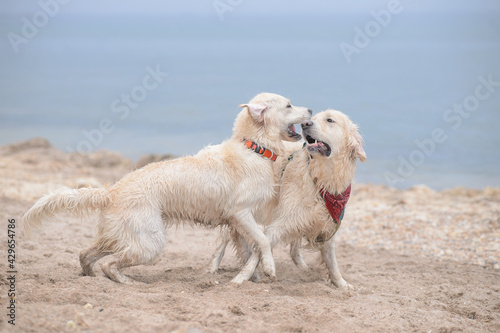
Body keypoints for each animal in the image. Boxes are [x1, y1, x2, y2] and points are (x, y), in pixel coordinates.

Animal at [24, 92, 312, 282]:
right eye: (288, 105)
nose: (310, 112)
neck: (254, 148)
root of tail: (113, 190)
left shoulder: (235, 222)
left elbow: (246, 249)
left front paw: (250, 277)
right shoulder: (241, 213)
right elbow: (262, 240)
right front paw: (269, 269)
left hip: (120, 235)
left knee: (86, 253)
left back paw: (89, 275)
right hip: (149, 240)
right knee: (111, 265)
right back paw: (127, 282)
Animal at [229, 109, 366, 286]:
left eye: (330, 120)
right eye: (314, 118)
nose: (305, 124)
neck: (321, 178)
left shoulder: (327, 224)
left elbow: (331, 260)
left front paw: (341, 284)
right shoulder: (282, 222)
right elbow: (260, 248)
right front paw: (242, 277)